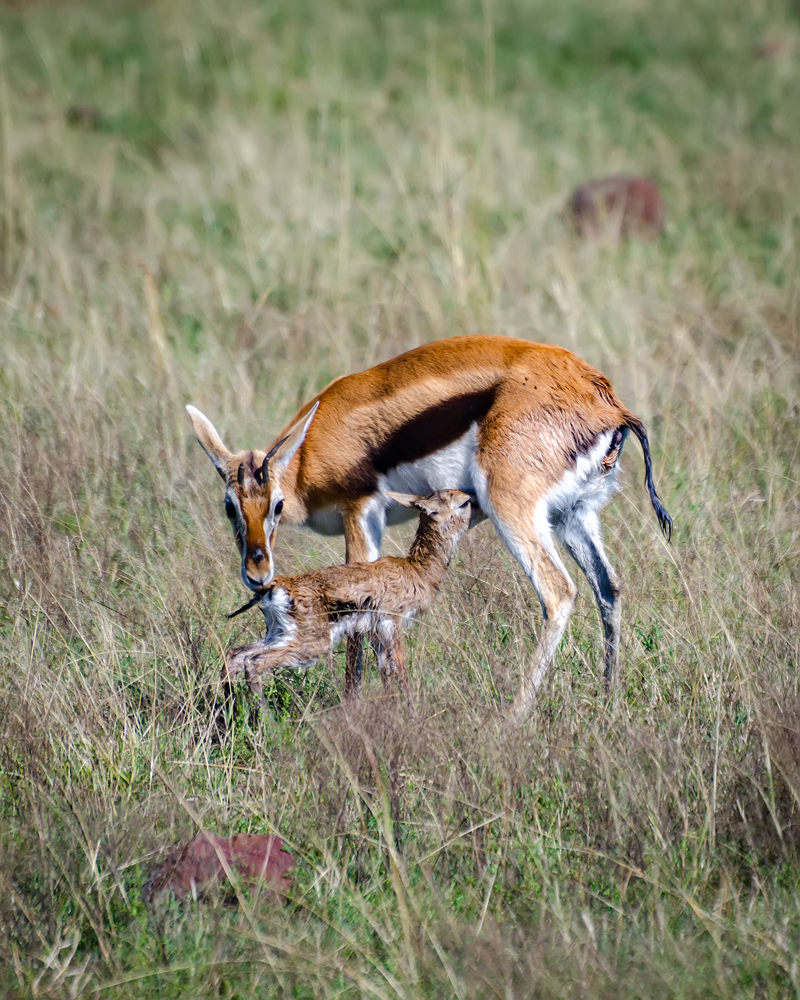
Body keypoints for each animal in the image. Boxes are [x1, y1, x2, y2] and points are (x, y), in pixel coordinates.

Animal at [225, 490, 472, 708]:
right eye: (464, 503)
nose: (472, 497)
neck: (416, 569)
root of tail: (279, 584)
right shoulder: (392, 623)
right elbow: (400, 670)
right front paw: (412, 714)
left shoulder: (376, 631)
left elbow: (386, 671)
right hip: (310, 645)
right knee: (254, 663)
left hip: (277, 634)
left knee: (235, 655)